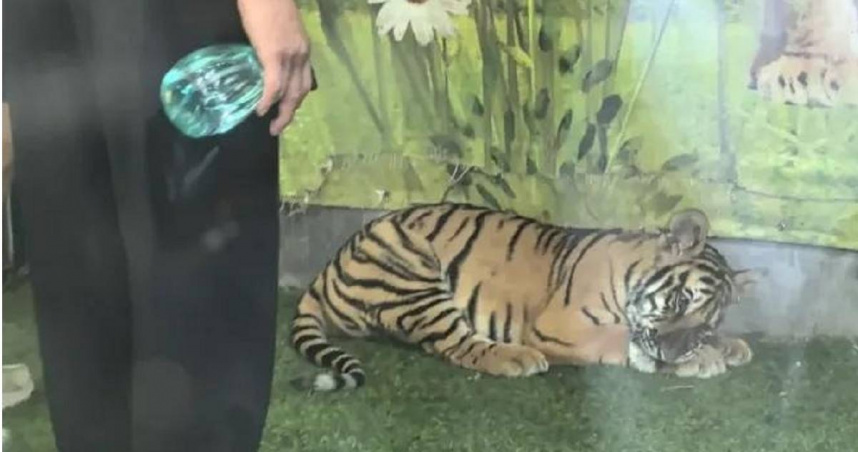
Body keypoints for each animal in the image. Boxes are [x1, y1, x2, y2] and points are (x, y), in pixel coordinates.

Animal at [288, 203, 758, 392]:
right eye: (680, 301)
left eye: (706, 324)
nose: (675, 352)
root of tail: (326, 270)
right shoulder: (561, 326)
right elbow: (621, 339)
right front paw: (705, 359)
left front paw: (728, 346)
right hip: (411, 271)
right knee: (456, 345)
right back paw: (516, 358)